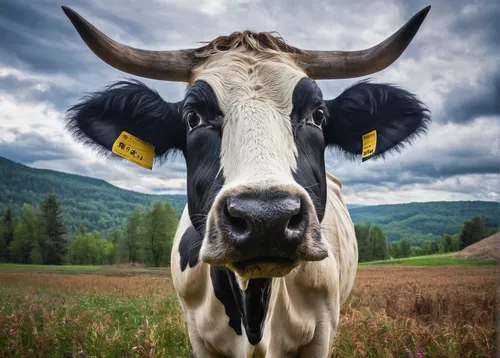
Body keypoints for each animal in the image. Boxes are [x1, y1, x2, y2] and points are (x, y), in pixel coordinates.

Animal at [61, 4, 430, 356]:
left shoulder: (322, 332)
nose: (266, 218)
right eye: (192, 117)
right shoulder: (198, 336)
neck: (254, 312)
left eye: (318, 115)